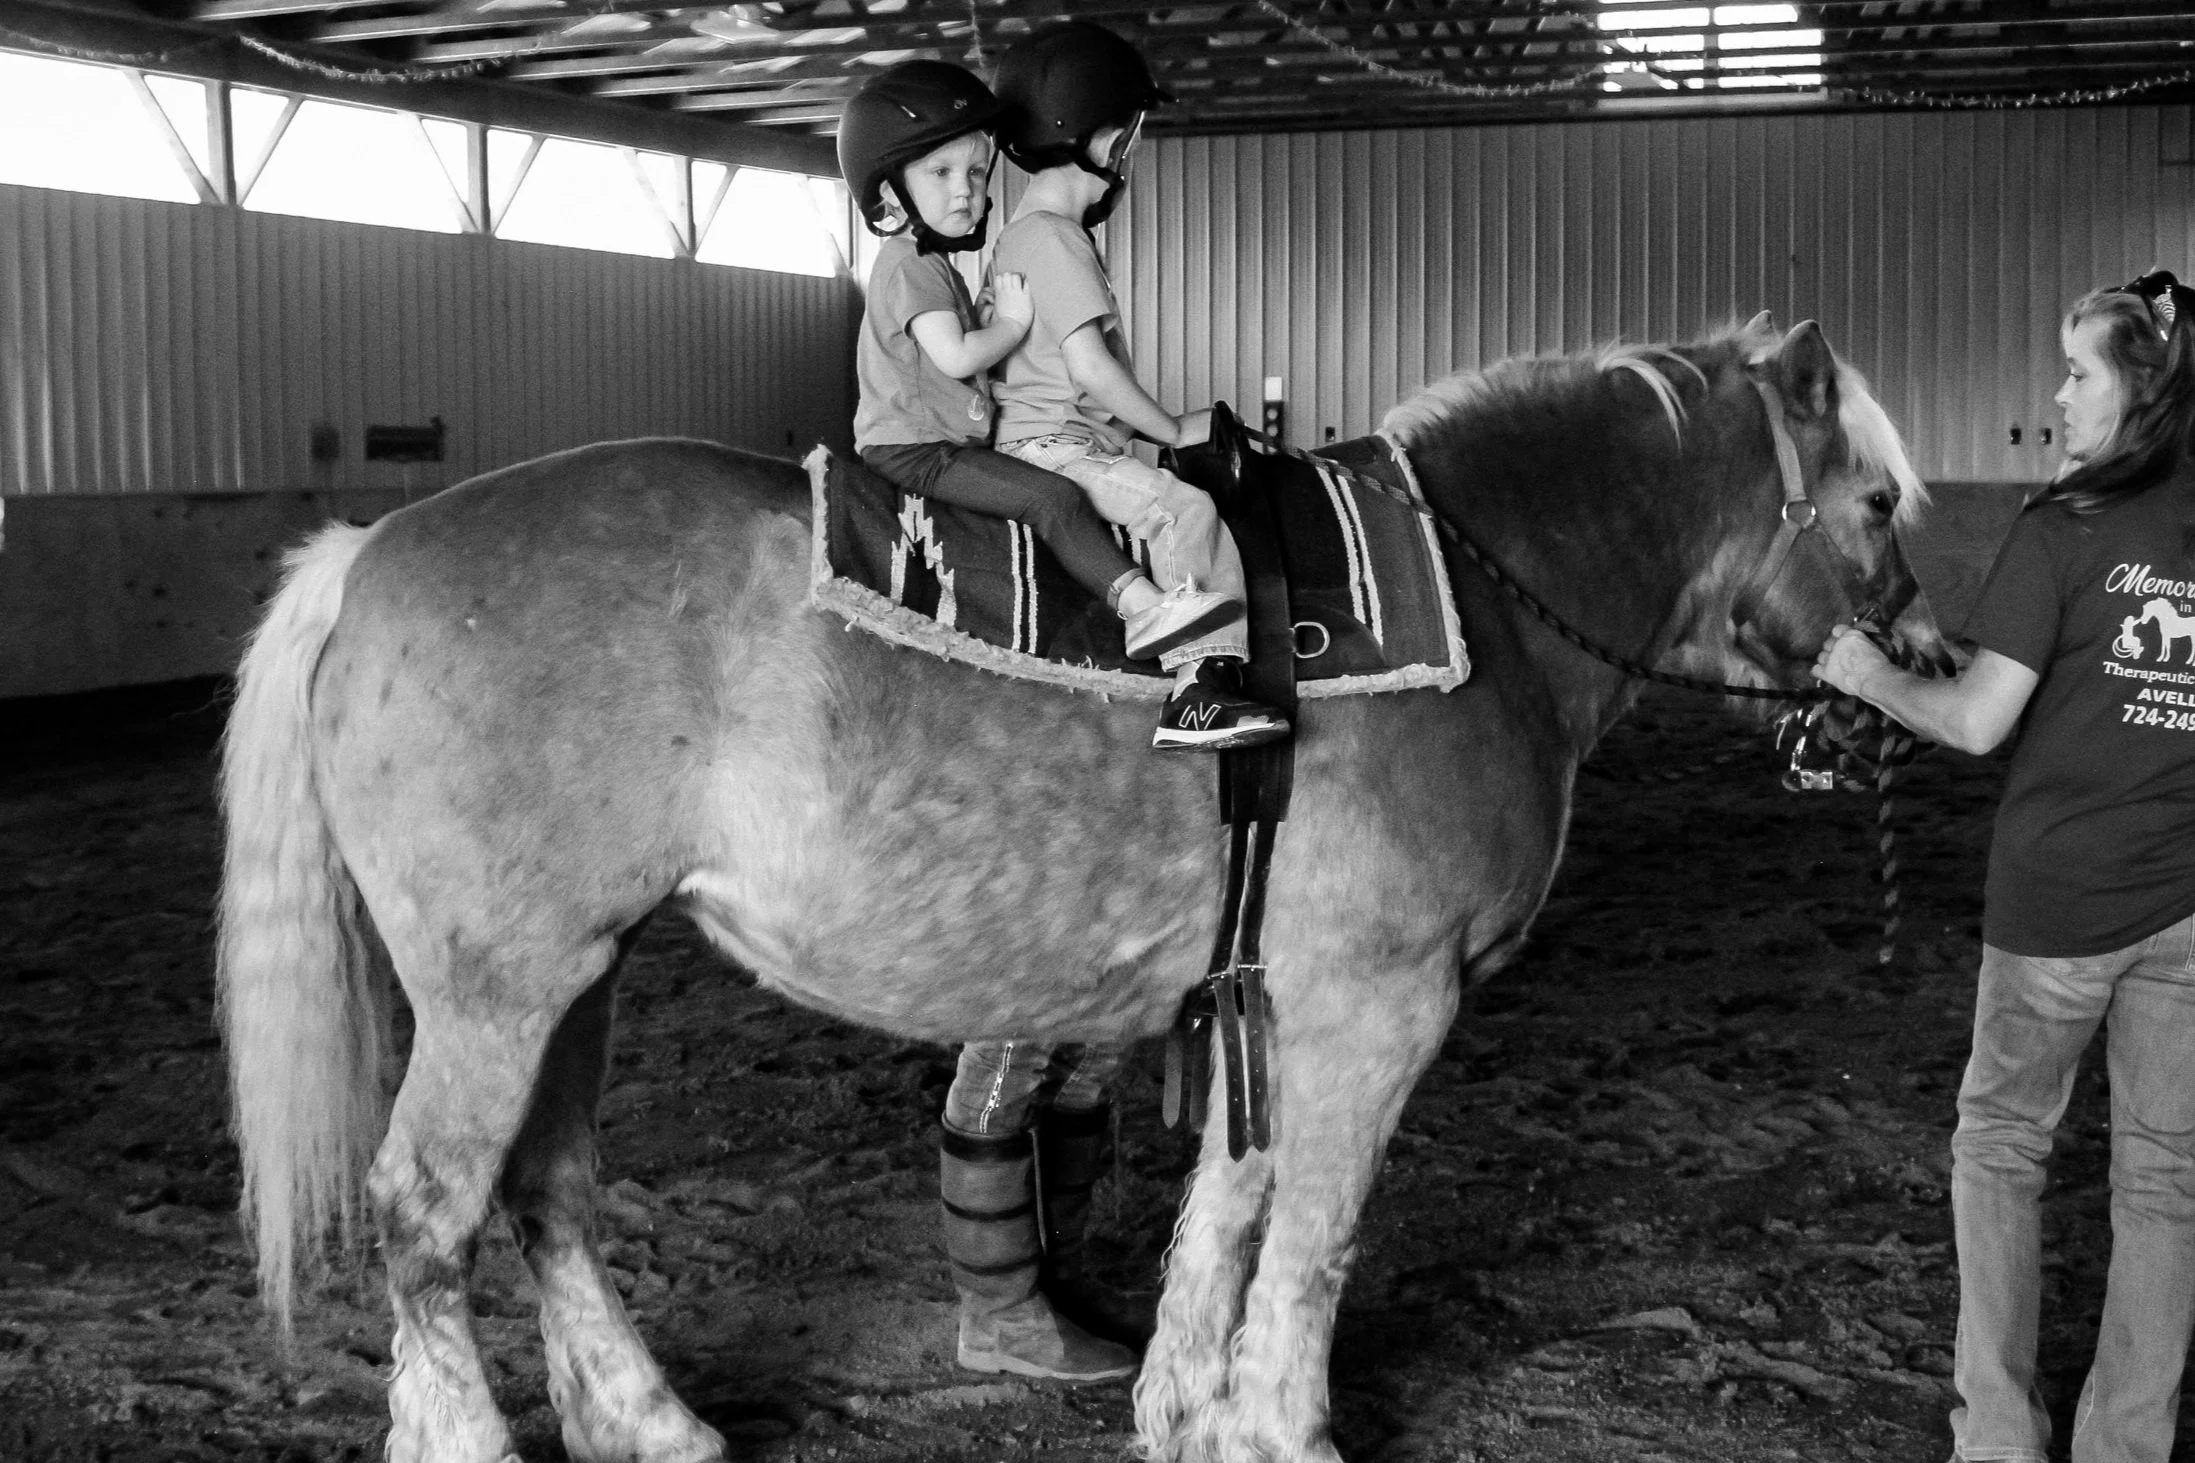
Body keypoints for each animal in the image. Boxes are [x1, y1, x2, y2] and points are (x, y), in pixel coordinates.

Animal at [216, 315, 1941, 1463]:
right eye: (1874, 504)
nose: (1910, 680)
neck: (1479, 606)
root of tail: (370, 554)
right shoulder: (1378, 1004)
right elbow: (1314, 1229)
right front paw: (1282, 1425)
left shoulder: (1268, 999)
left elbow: (1228, 1207)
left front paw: (1190, 1407)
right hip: (495, 989)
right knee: (425, 1209)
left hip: (577, 972)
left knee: (547, 1190)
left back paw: (649, 1419)